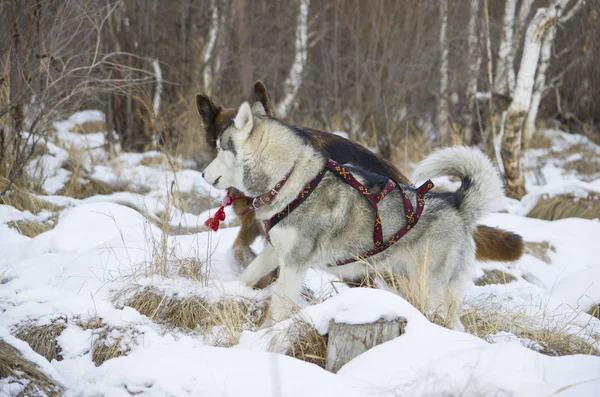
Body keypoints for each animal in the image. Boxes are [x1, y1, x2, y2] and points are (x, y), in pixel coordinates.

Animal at [203, 102, 506, 328]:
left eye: (220, 148)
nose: (203, 174)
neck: (290, 179)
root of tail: (456, 202)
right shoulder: (276, 251)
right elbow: (250, 273)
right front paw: (229, 292)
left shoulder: (294, 264)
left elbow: (277, 307)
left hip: (427, 288)